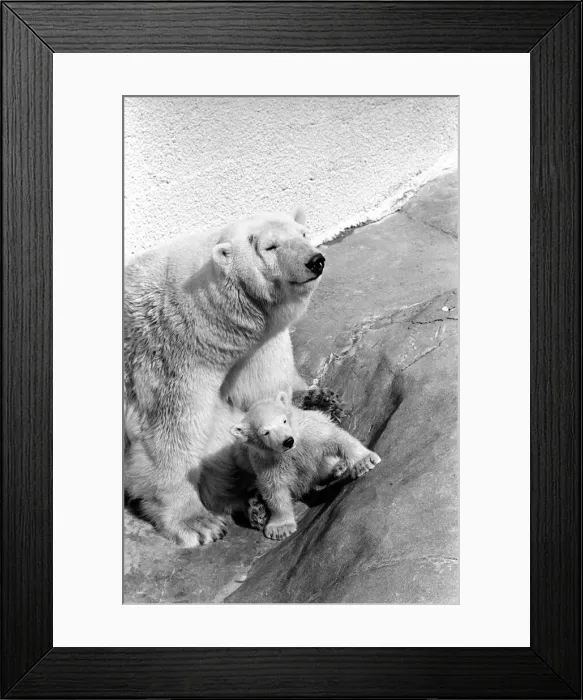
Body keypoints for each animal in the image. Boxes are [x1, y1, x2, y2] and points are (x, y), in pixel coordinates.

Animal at [124, 207, 325, 547]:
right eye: (271, 246)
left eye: (303, 234)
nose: (315, 260)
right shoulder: (172, 358)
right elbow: (170, 435)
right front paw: (198, 523)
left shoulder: (255, 348)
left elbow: (262, 393)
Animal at [198, 393, 381, 541]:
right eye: (266, 432)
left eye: (284, 420)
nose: (287, 441)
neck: (291, 451)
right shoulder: (268, 462)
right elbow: (275, 489)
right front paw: (280, 528)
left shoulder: (309, 435)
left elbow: (336, 438)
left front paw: (364, 461)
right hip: (241, 456)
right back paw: (256, 508)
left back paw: (338, 467)